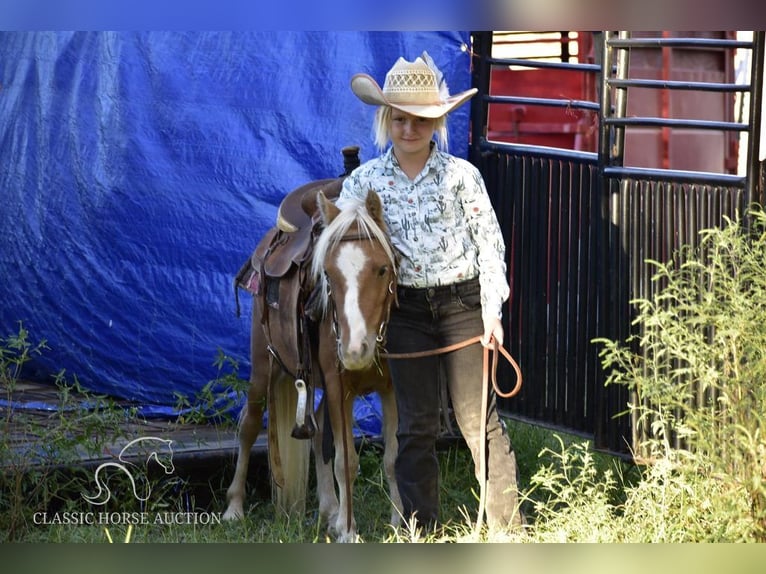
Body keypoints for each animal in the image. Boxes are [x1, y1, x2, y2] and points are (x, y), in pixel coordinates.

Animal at [225, 187, 404, 544]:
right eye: (328, 275)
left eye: (382, 269)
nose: (354, 350)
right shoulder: (338, 386)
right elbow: (346, 461)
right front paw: (349, 531)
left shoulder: (389, 389)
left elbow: (391, 458)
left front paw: (400, 524)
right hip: (264, 368)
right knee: (249, 426)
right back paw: (234, 508)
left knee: (318, 428)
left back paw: (330, 511)